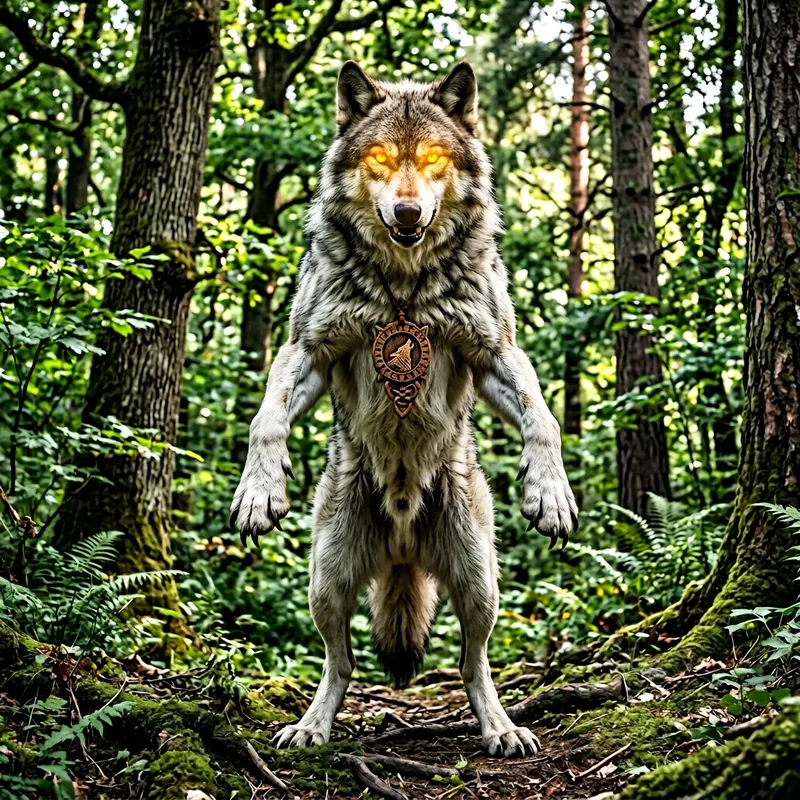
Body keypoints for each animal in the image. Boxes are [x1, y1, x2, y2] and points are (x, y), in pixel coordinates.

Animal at [230, 61, 578, 758]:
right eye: (383, 160)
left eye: (436, 159)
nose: (409, 210)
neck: (404, 283)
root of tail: (400, 547)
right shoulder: (307, 348)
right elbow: (266, 417)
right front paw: (259, 490)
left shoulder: (495, 350)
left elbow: (543, 417)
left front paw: (549, 492)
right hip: (327, 581)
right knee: (340, 663)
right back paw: (312, 726)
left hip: (479, 583)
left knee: (474, 664)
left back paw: (500, 728)